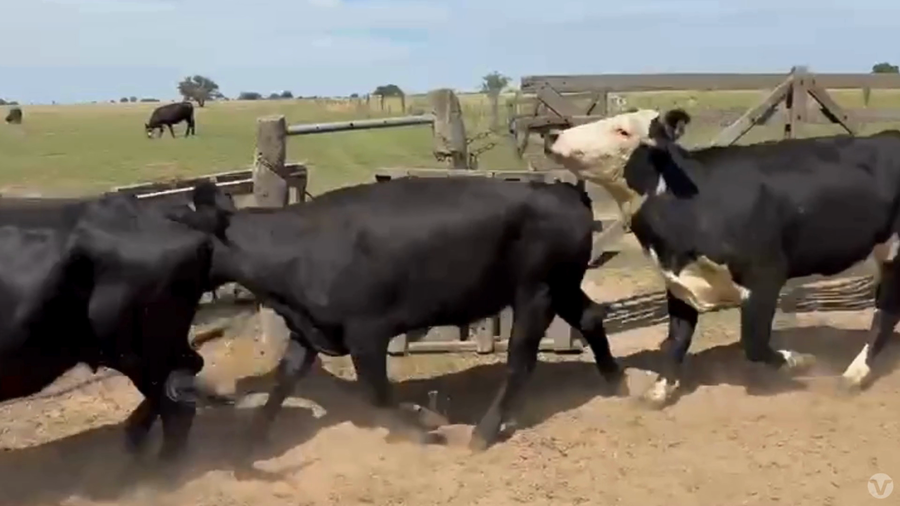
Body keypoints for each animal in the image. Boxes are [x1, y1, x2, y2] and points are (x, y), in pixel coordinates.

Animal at [171, 176, 624, 453]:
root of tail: (562, 191)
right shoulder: (308, 331)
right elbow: (284, 382)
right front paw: (253, 438)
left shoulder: (366, 333)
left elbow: (378, 392)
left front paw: (424, 424)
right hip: (563, 286)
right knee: (590, 317)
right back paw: (617, 382)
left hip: (536, 292)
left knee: (520, 360)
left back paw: (484, 432)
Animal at [546, 107, 900, 408]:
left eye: (622, 131)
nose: (552, 136)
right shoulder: (679, 281)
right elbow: (676, 339)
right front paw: (660, 390)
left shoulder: (765, 275)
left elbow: (754, 345)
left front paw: (797, 361)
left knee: (886, 312)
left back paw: (854, 375)